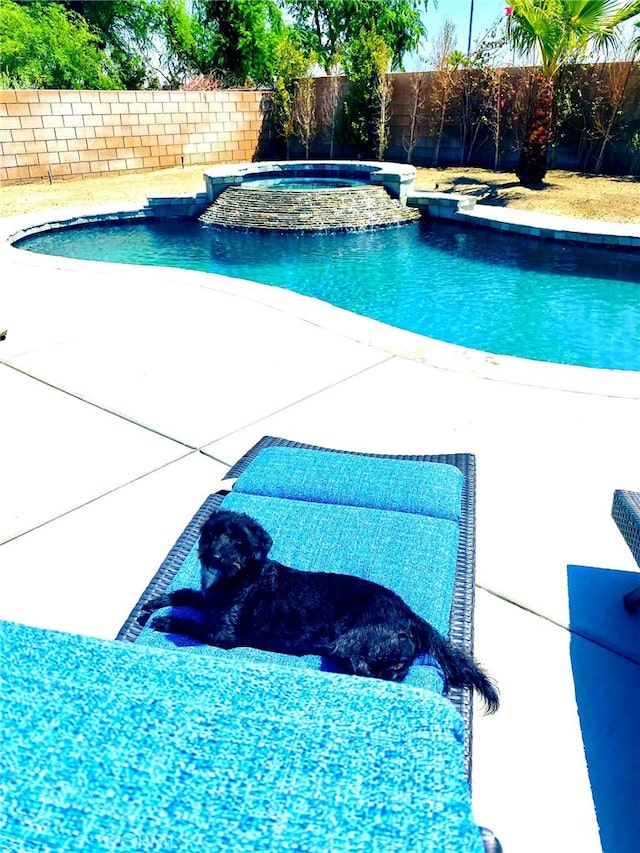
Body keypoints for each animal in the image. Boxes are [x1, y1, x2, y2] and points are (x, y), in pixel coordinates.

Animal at [140, 506, 500, 712]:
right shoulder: (208, 599)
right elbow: (185, 593)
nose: (214, 556)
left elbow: (193, 624)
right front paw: (156, 603)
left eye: (240, 542)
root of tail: (408, 613)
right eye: (211, 534)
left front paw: (167, 622)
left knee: (377, 669)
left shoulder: (223, 634)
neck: (242, 577)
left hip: (350, 641)